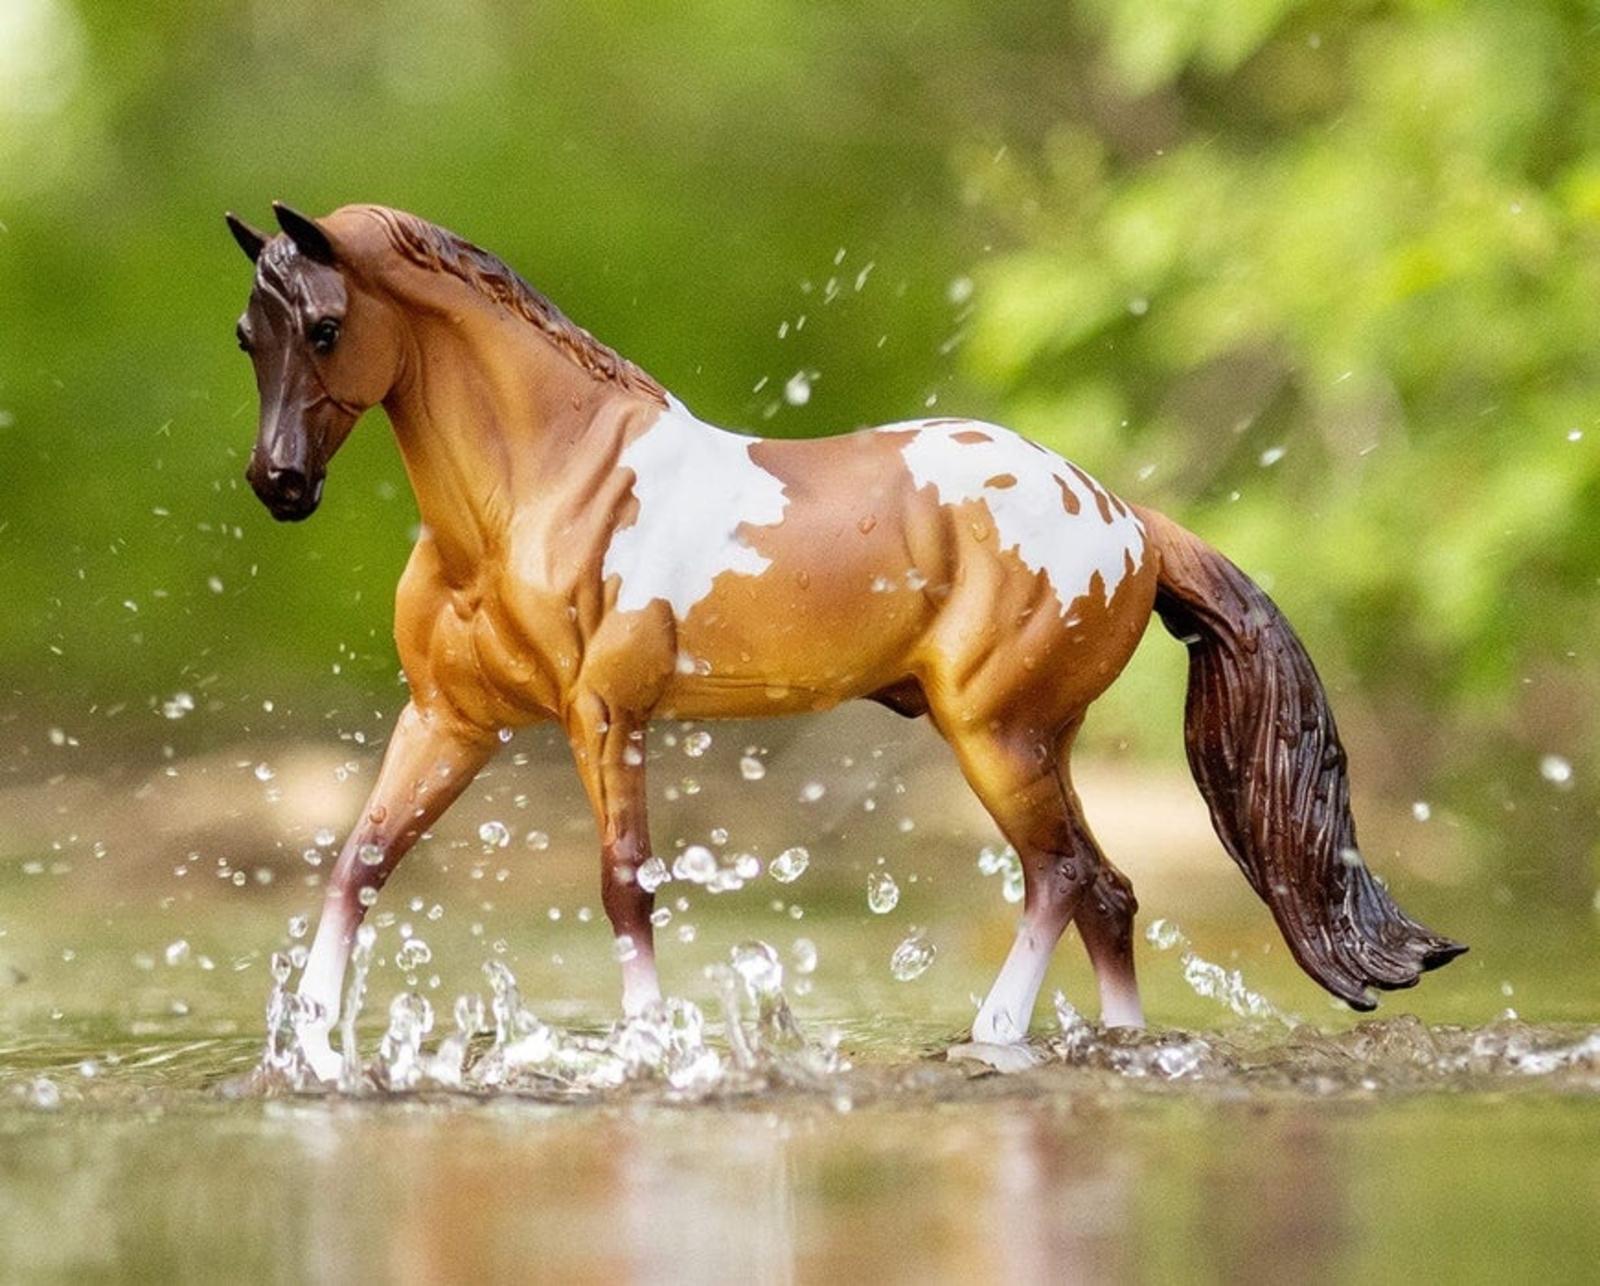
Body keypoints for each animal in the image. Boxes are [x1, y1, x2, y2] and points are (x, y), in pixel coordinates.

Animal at [222, 207, 1465, 1074]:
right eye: (247, 334)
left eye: (326, 326)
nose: (279, 484)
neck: (543, 488)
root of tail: (1126, 517)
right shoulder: (452, 719)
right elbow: (358, 861)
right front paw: (312, 1046)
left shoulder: (604, 715)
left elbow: (625, 887)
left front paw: (649, 1050)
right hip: (1037, 737)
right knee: (1106, 892)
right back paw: (1107, 1046)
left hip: (996, 733)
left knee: (1062, 875)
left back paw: (995, 1035)